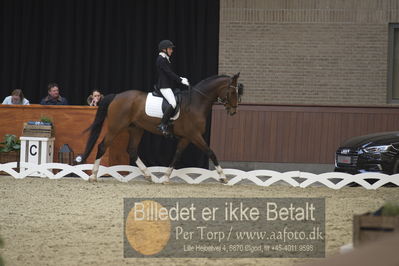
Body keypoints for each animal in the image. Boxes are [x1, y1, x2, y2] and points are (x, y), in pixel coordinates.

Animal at [77, 74, 242, 184]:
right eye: (232, 92)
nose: (234, 111)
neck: (196, 102)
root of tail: (117, 96)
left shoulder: (186, 137)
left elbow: (176, 156)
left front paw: (165, 177)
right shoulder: (194, 135)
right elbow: (211, 152)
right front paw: (223, 177)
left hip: (136, 129)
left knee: (132, 151)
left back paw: (148, 175)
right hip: (115, 127)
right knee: (102, 146)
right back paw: (93, 176)